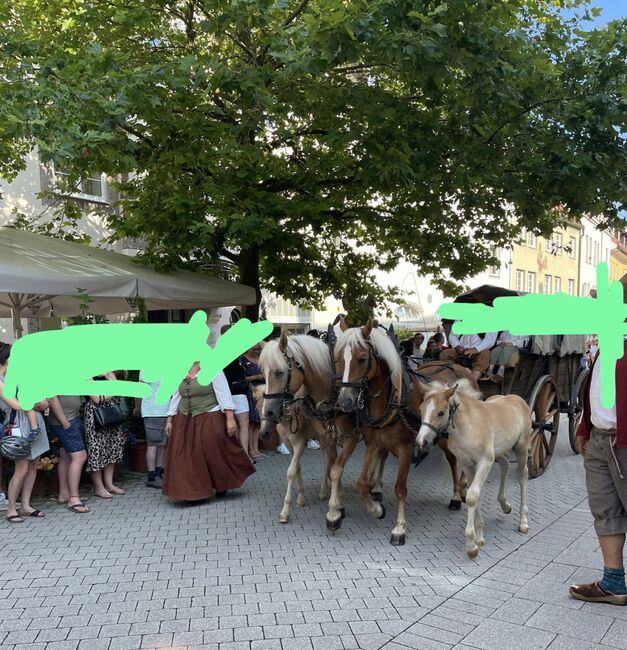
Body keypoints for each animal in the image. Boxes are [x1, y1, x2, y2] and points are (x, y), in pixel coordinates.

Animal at [334, 316, 476, 544]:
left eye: (362, 359)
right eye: (338, 358)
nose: (345, 401)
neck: (393, 399)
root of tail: (457, 365)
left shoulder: (405, 448)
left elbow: (400, 489)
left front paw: (399, 528)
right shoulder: (374, 443)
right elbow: (362, 482)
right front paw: (376, 509)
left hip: (449, 437)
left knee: (454, 459)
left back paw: (457, 494)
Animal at [414, 380, 532, 556]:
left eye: (441, 412)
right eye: (421, 409)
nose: (422, 441)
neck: (468, 427)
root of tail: (517, 398)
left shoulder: (485, 462)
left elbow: (472, 496)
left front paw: (471, 546)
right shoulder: (467, 465)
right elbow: (473, 494)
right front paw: (479, 538)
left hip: (521, 448)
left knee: (522, 475)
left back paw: (523, 522)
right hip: (500, 451)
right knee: (504, 463)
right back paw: (505, 505)